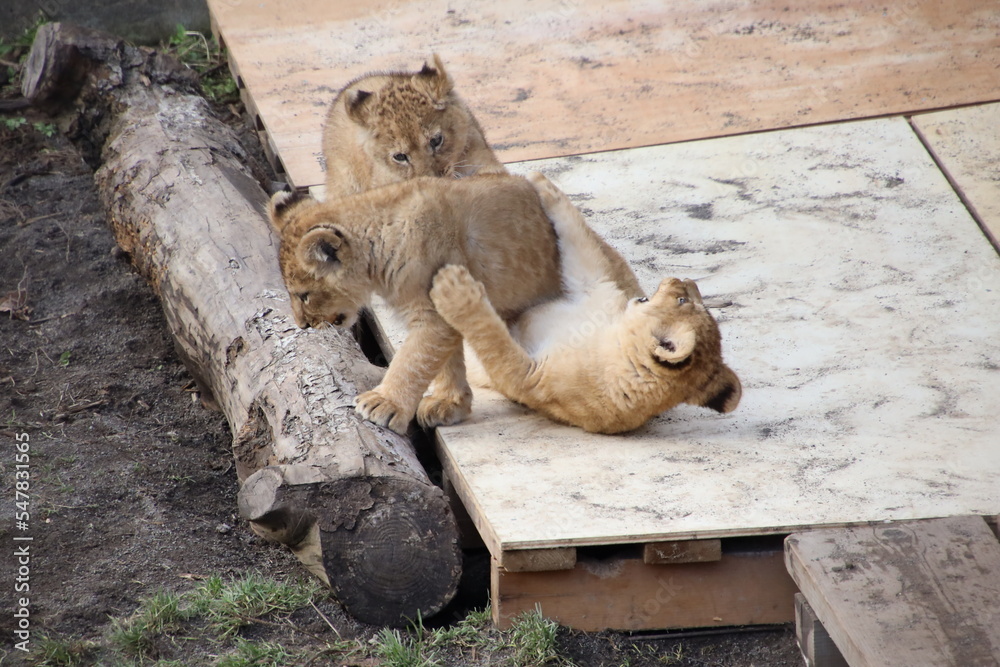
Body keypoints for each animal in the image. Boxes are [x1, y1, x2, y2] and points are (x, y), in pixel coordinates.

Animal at [267, 173, 562, 434]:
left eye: (304, 295)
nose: (302, 325)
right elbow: (445, 362)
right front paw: (449, 403)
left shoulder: (433, 313)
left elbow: (414, 360)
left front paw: (385, 403)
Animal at [429, 173, 742, 434]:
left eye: (681, 299)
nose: (682, 279)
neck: (612, 336)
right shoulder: (595, 286)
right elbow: (578, 237)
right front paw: (544, 183)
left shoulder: (528, 379)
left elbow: (492, 338)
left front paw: (454, 288)